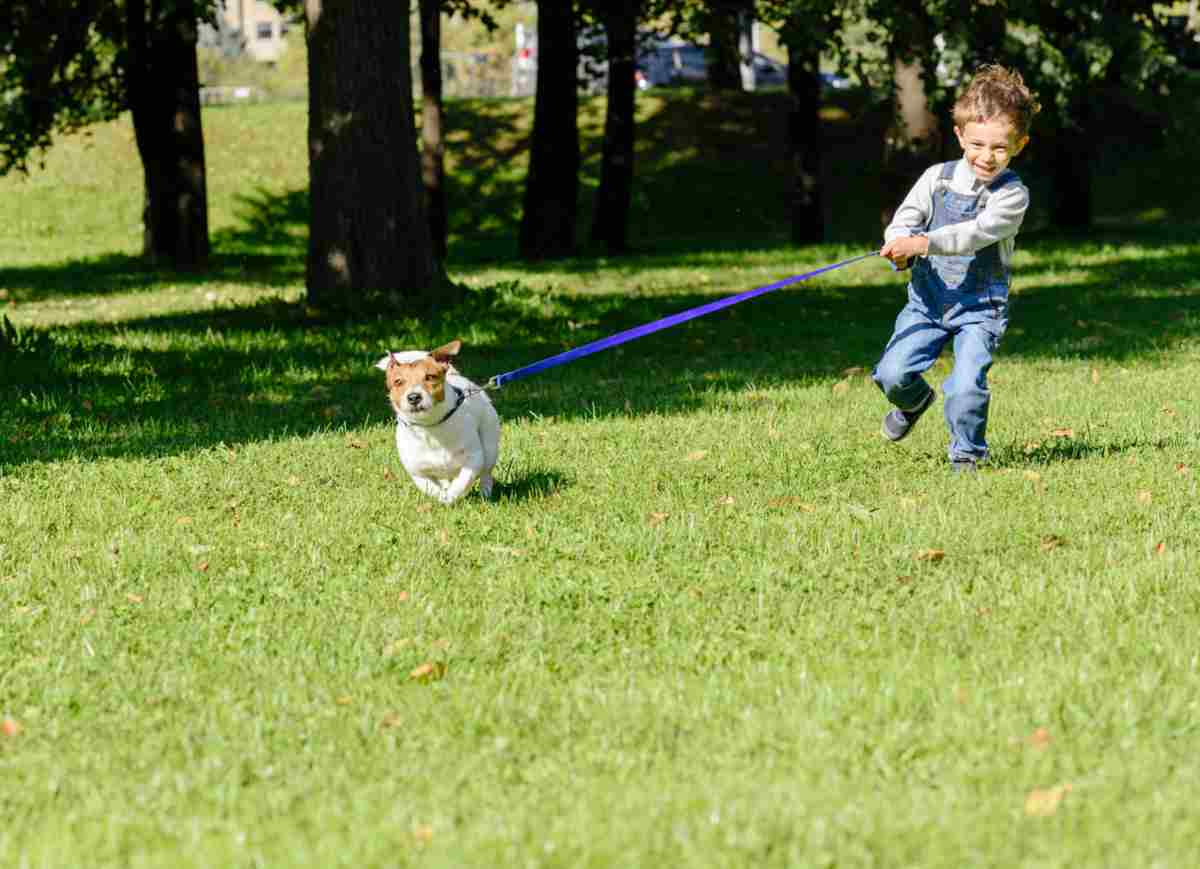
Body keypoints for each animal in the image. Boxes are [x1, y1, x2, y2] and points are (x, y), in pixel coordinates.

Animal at [376, 338, 504, 501]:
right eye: (398, 382)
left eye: (430, 377)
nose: (414, 397)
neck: (430, 426)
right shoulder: (417, 471)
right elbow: (429, 487)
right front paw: (442, 497)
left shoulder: (473, 458)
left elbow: (464, 480)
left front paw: (452, 496)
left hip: (489, 443)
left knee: (486, 472)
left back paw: (485, 492)